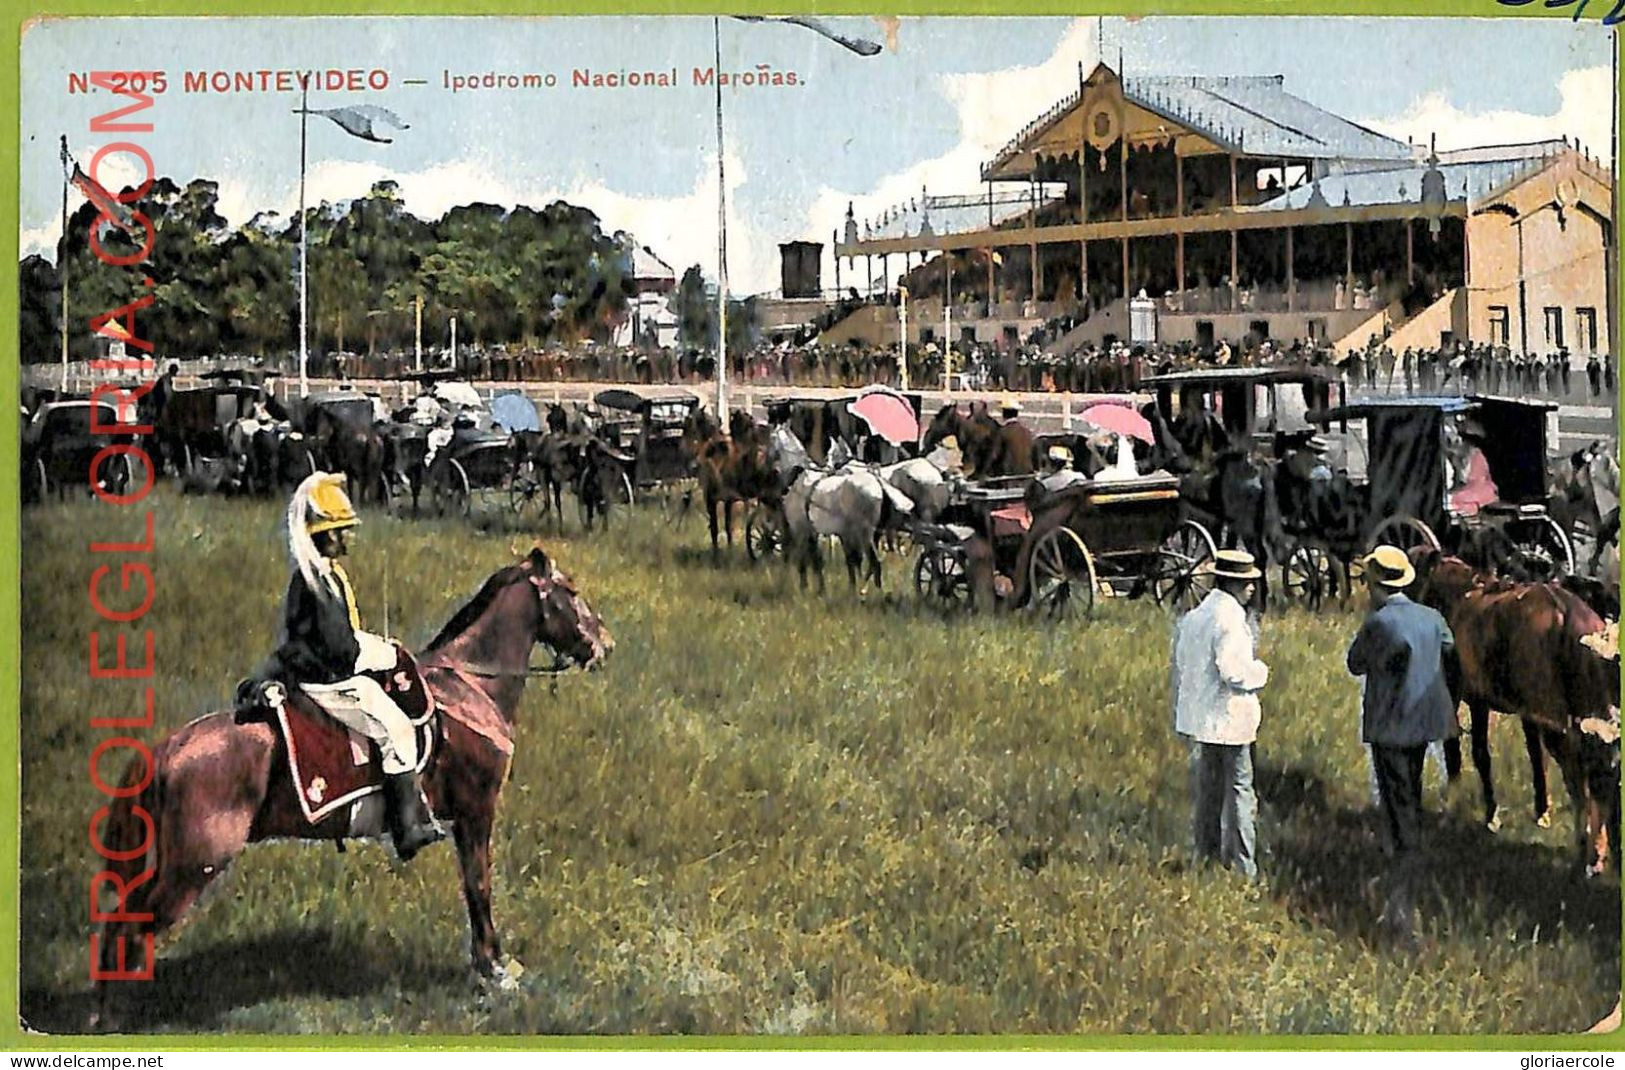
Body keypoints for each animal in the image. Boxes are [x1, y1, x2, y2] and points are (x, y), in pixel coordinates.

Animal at [95, 546, 614, 1021]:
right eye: (571, 591)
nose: (604, 644)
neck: (469, 687)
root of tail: (168, 747)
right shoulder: (476, 812)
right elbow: (479, 887)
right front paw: (494, 970)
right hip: (193, 866)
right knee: (131, 928)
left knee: (120, 924)